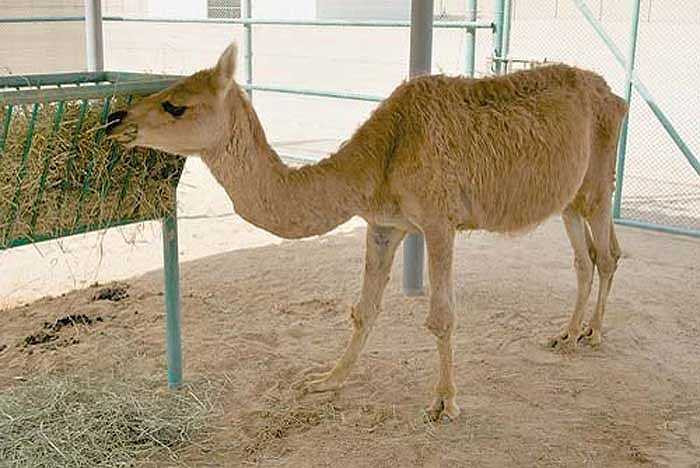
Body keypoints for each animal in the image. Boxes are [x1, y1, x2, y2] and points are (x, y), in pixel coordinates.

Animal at [106, 43, 627, 421]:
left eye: (175, 105)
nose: (116, 120)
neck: (381, 156)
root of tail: (616, 96)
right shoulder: (384, 224)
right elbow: (364, 310)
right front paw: (326, 379)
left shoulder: (438, 222)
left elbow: (441, 317)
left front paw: (444, 403)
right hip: (569, 199)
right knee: (585, 258)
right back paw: (567, 333)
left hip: (598, 183)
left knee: (607, 254)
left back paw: (593, 336)